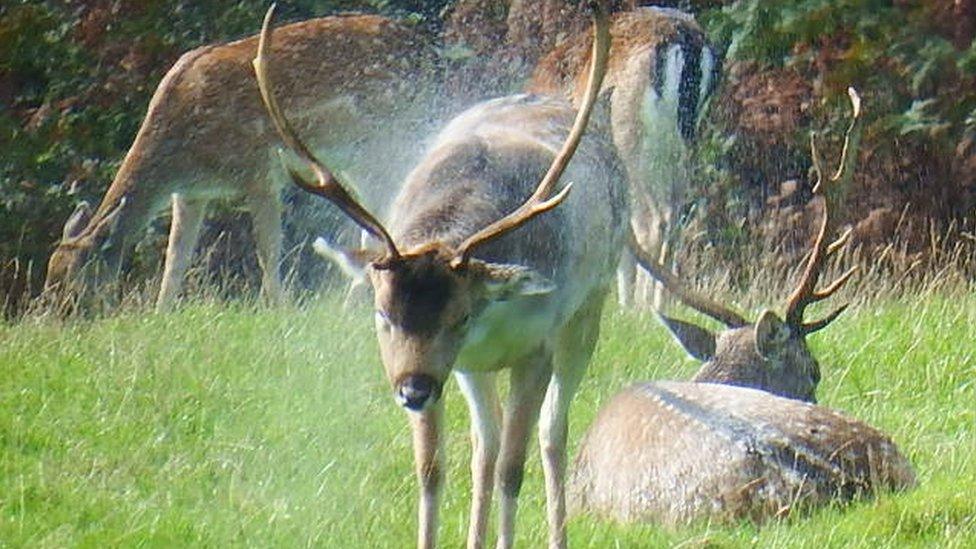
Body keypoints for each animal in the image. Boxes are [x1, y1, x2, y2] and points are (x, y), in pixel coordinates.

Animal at [43, 12, 440, 310]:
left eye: (79, 279)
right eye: (50, 274)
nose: (58, 319)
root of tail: (428, 53)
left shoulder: (259, 171)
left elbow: (268, 251)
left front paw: (280, 311)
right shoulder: (189, 194)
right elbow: (175, 261)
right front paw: (160, 315)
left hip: (386, 137)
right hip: (356, 158)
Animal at [248, 2, 620, 544]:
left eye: (460, 317)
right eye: (382, 314)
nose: (413, 391)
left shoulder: (535, 347)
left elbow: (513, 469)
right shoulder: (451, 365)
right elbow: (431, 470)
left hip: (588, 309)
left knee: (551, 432)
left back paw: (556, 534)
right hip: (466, 372)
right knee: (485, 445)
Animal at [528, 7, 724, 308]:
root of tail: (687, 40)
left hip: (631, 136)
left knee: (652, 221)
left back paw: (641, 306)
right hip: (681, 144)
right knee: (673, 217)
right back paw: (659, 303)